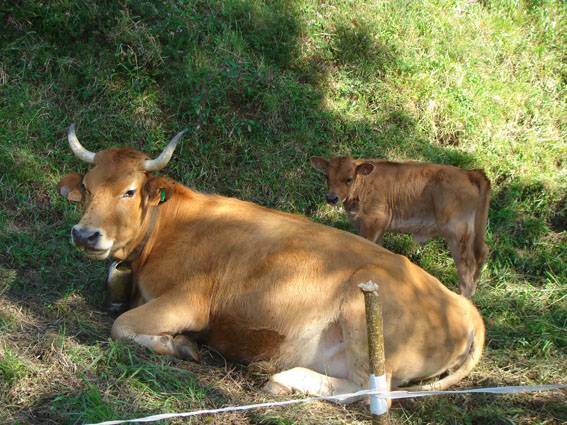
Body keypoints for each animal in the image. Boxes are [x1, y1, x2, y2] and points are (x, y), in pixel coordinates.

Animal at [310, 156, 492, 298]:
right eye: (327, 176)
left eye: (348, 178)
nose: (331, 198)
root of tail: (469, 173)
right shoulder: (378, 228)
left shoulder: (372, 222)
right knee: (482, 253)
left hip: (457, 233)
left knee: (467, 266)